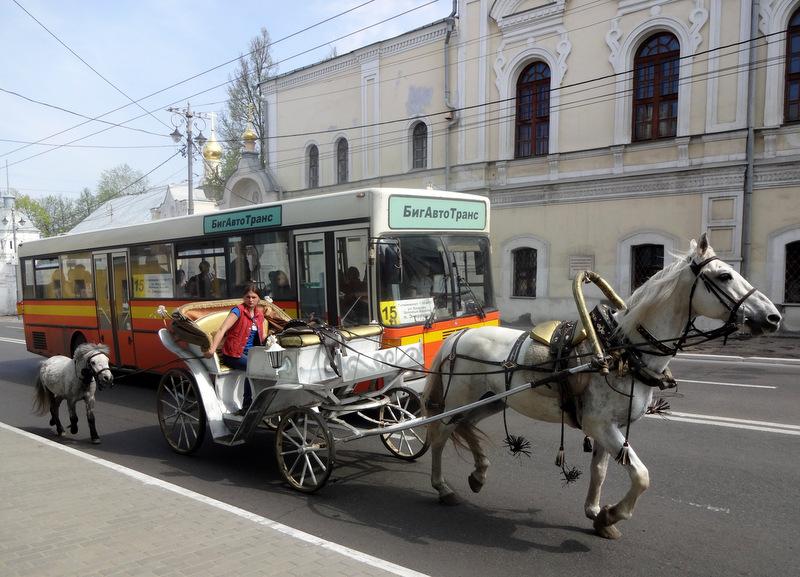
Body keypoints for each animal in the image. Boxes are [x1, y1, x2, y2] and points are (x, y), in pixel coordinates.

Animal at [424, 232, 780, 536]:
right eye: (724, 276)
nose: (773, 317)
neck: (619, 350)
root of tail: (458, 335)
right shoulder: (600, 424)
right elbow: (641, 475)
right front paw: (612, 514)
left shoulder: (609, 427)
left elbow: (600, 470)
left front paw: (596, 513)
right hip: (456, 403)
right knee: (440, 435)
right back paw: (442, 487)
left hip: (490, 401)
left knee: (465, 427)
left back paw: (479, 473)